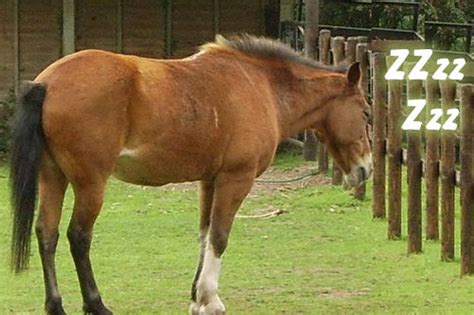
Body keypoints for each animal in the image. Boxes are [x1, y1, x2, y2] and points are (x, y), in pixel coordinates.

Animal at [9, 35, 370, 315]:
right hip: (90, 184)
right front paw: (211, 300)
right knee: (79, 236)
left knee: (47, 233)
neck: (261, 85)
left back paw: (55, 305)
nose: (365, 169)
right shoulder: (235, 179)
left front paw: (197, 297)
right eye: (366, 112)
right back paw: (96, 304)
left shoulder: (209, 180)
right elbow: (220, 236)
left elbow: (204, 234)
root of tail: (47, 82)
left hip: (53, 177)